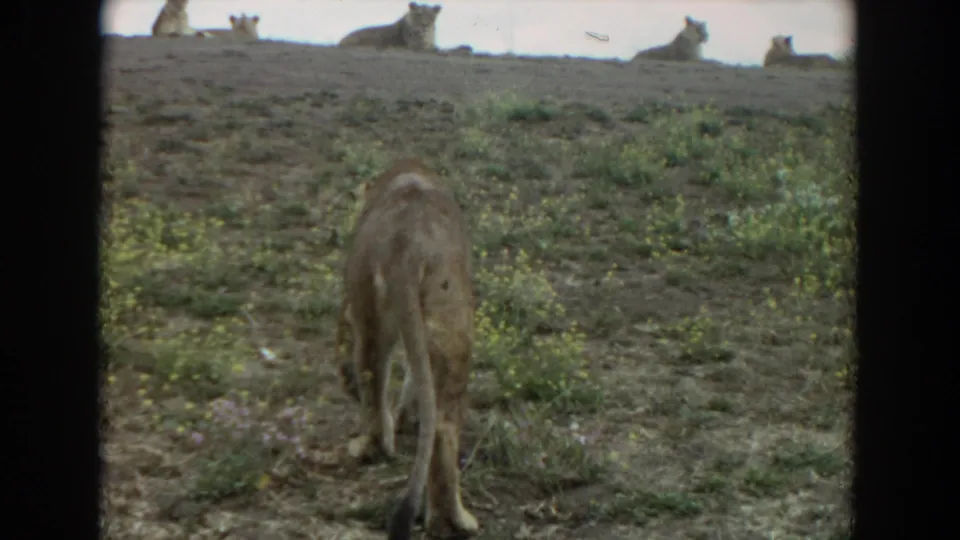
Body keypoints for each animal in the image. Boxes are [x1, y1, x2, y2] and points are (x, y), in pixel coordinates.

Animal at [340, 156, 479, 540]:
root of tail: (408, 245)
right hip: (453, 326)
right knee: (443, 430)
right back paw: (453, 520)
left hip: (372, 319)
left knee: (373, 384)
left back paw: (369, 447)